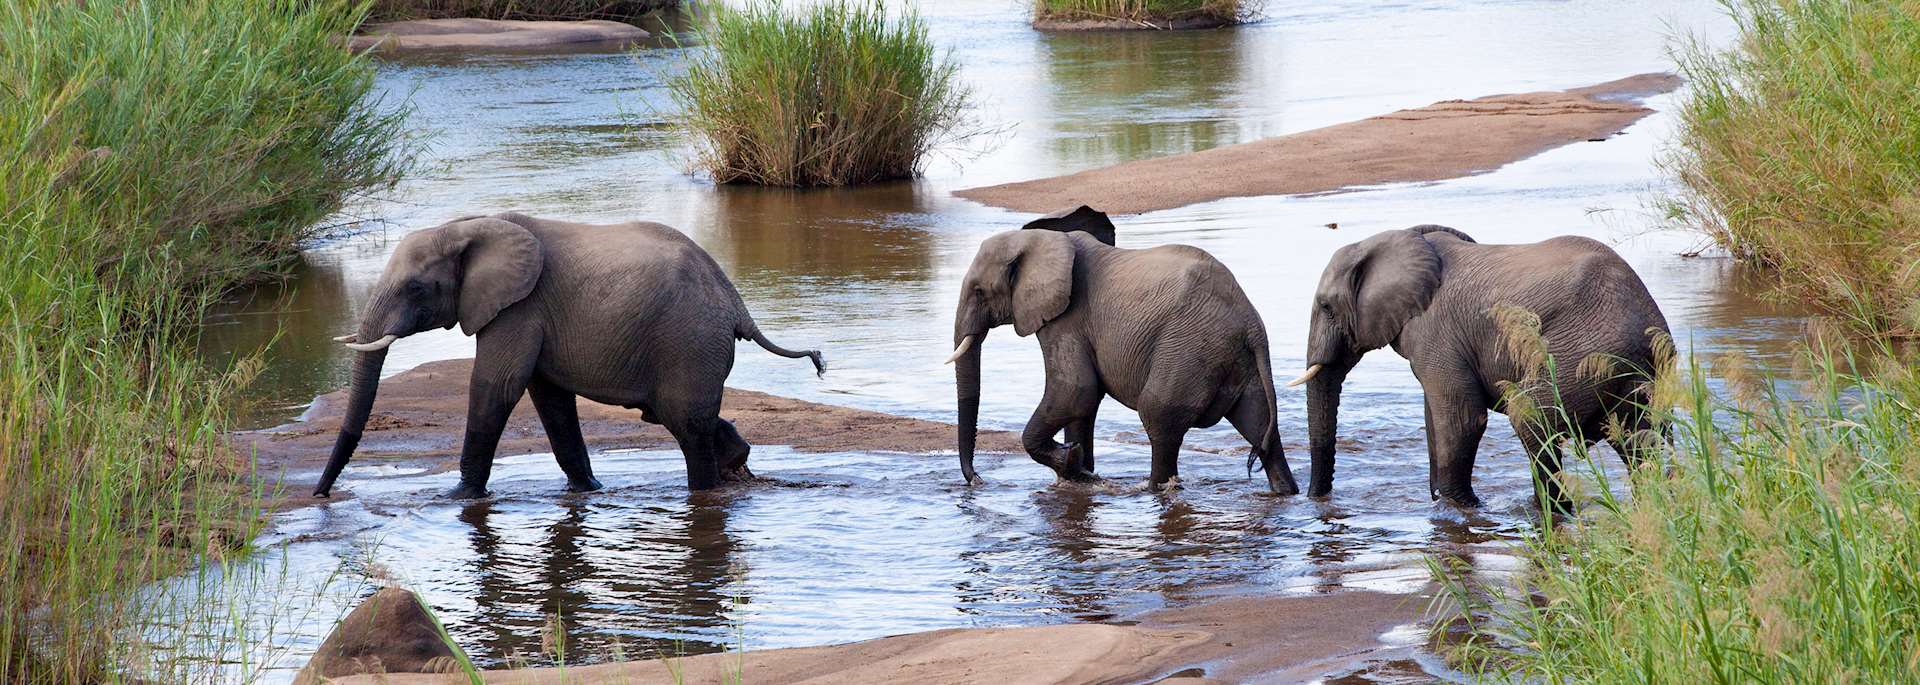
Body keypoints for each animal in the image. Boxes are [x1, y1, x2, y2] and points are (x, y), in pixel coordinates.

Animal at [312, 212, 824, 499]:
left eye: (416, 288)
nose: (322, 496)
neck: (463, 226)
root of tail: (736, 303)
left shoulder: (520, 306)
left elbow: (496, 387)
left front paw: (458, 497)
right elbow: (550, 399)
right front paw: (586, 491)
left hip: (691, 339)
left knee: (686, 424)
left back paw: (705, 489)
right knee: (671, 413)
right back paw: (736, 460)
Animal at [949, 224, 1299, 495]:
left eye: (979, 291)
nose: (977, 480)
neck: (1039, 238)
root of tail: (1251, 323)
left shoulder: (1067, 319)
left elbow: (1075, 390)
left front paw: (1073, 465)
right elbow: (1082, 404)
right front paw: (1078, 470)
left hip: (1189, 347)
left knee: (1159, 415)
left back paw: (1154, 490)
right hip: (1236, 358)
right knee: (1258, 424)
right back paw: (1286, 491)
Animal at [1293, 224, 1669, 511]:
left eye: (1326, 307)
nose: (1315, 500)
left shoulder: (1436, 331)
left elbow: (1461, 419)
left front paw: (1459, 509)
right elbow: (1435, 420)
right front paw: (1440, 502)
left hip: (1579, 357)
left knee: (1530, 418)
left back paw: (1548, 511)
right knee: (1642, 438)